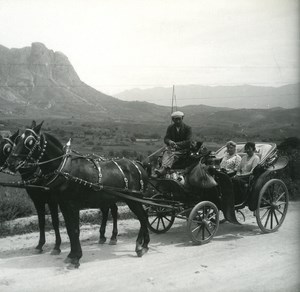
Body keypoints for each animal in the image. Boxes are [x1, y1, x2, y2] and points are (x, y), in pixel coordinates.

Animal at [7, 122, 150, 268]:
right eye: (17, 140)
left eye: (29, 141)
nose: (11, 163)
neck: (65, 170)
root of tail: (139, 164)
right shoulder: (63, 205)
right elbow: (70, 230)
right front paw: (71, 255)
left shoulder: (72, 205)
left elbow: (75, 230)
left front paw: (76, 258)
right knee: (142, 217)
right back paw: (143, 244)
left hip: (134, 199)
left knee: (143, 218)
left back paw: (140, 246)